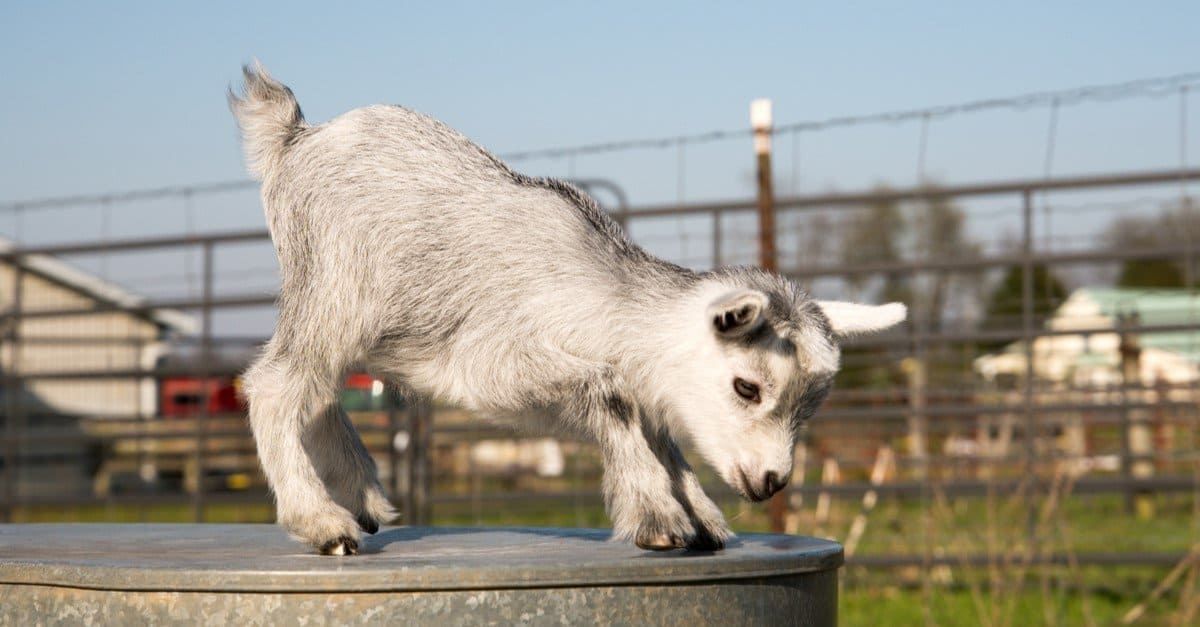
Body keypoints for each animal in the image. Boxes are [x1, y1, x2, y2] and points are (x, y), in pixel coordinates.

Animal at [226, 63, 902, 552]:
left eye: (809, 405)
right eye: (747, 387)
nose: (770, 483)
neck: (604, 300)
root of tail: (296, 136)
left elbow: (661, 431)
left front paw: (703, 517)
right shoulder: (492, 363)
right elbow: (614, 395)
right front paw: (658, 516)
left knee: (315, 390)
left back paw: (361, 496)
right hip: (338, 286)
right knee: (276, 385)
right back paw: (322, 521)